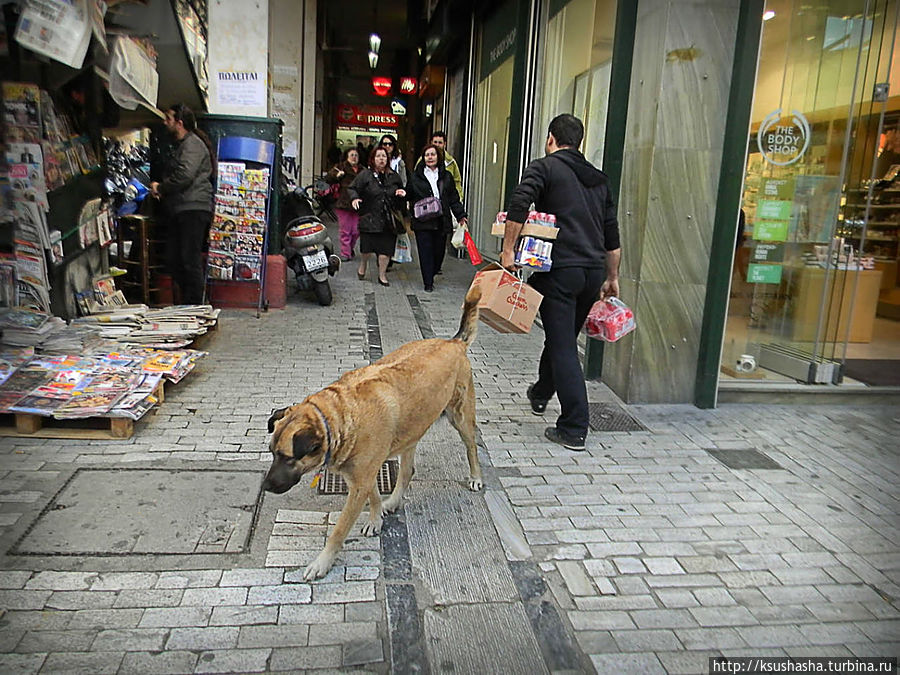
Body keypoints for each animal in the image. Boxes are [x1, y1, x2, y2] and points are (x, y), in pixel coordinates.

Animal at [262, 286, 482, 580]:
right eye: (271, 453)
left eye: (287, 458)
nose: (265, 486)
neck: (338, 417)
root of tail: (453, 342)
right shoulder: (362, 476)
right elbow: (374, 494)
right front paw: (376, 517)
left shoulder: (360, 481)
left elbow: (339, 531)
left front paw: (322, 562)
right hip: (411, 428)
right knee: (407, 471)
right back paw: (395, 500)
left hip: (461, 417)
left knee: (472, 447)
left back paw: (476, 477)